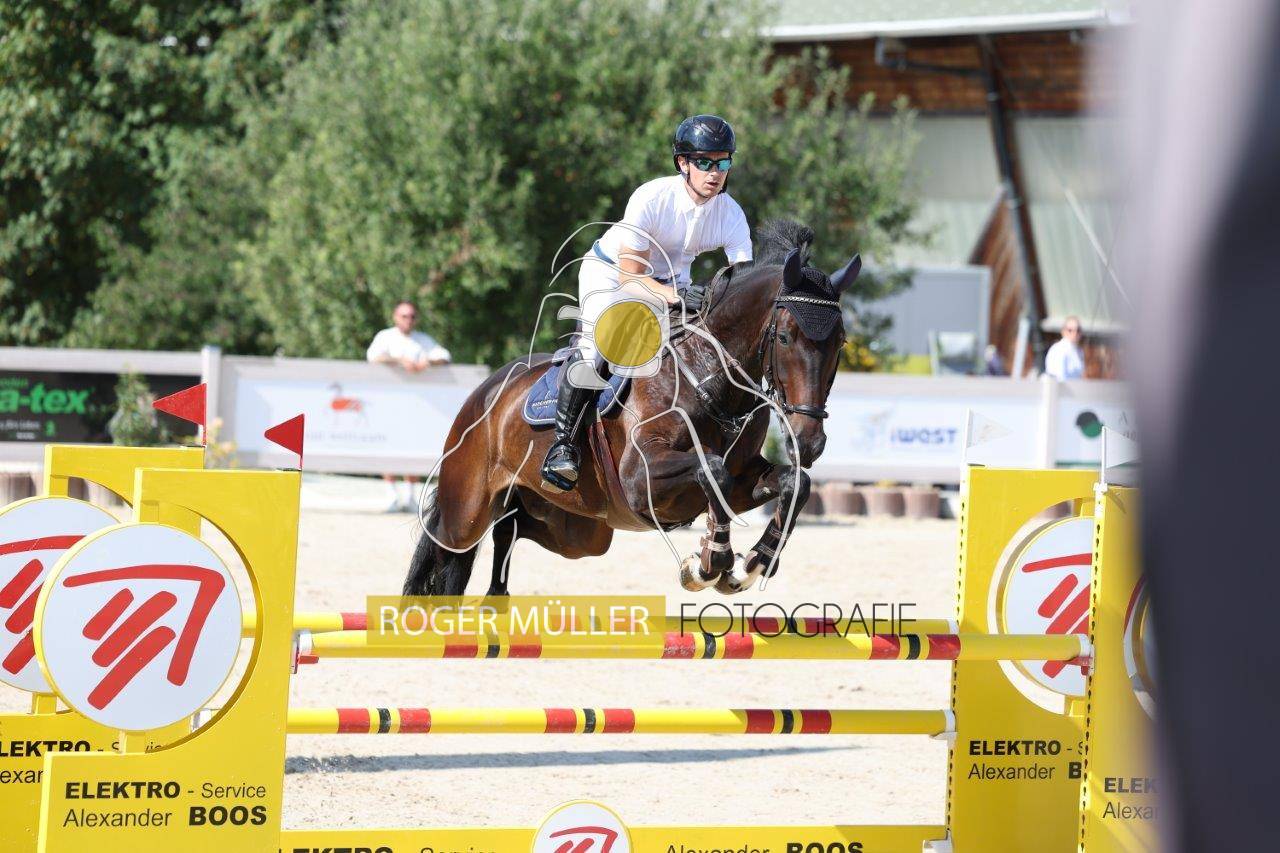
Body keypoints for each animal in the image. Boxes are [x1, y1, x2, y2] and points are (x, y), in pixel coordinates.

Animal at [403, 220, 861, 596]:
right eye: (784, 338)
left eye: (840, 342)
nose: (809, 441)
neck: (707, 374)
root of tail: (483, 393)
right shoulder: (640, 478)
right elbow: (712, 470)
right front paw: (709, 562)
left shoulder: (744, 474)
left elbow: (794, 481)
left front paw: (755, 562)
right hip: (466, 514)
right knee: (448, 563)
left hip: (575, 531)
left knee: (509, 538)